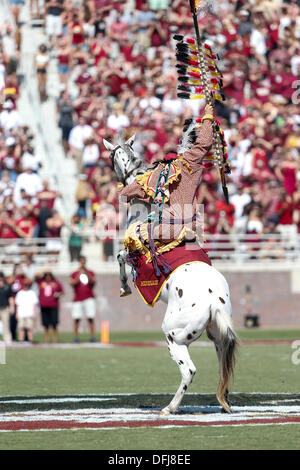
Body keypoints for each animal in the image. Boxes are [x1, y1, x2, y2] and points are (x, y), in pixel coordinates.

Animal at [103, 133, 237, 414]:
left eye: (111, 156)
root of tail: (213, 301)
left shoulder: (132, 254)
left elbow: (120, 257)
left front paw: (124, 287)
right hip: (217, 337)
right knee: (223, 368)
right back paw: (224, 403)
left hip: (174, 337)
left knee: (189, 371)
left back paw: (170, 407)